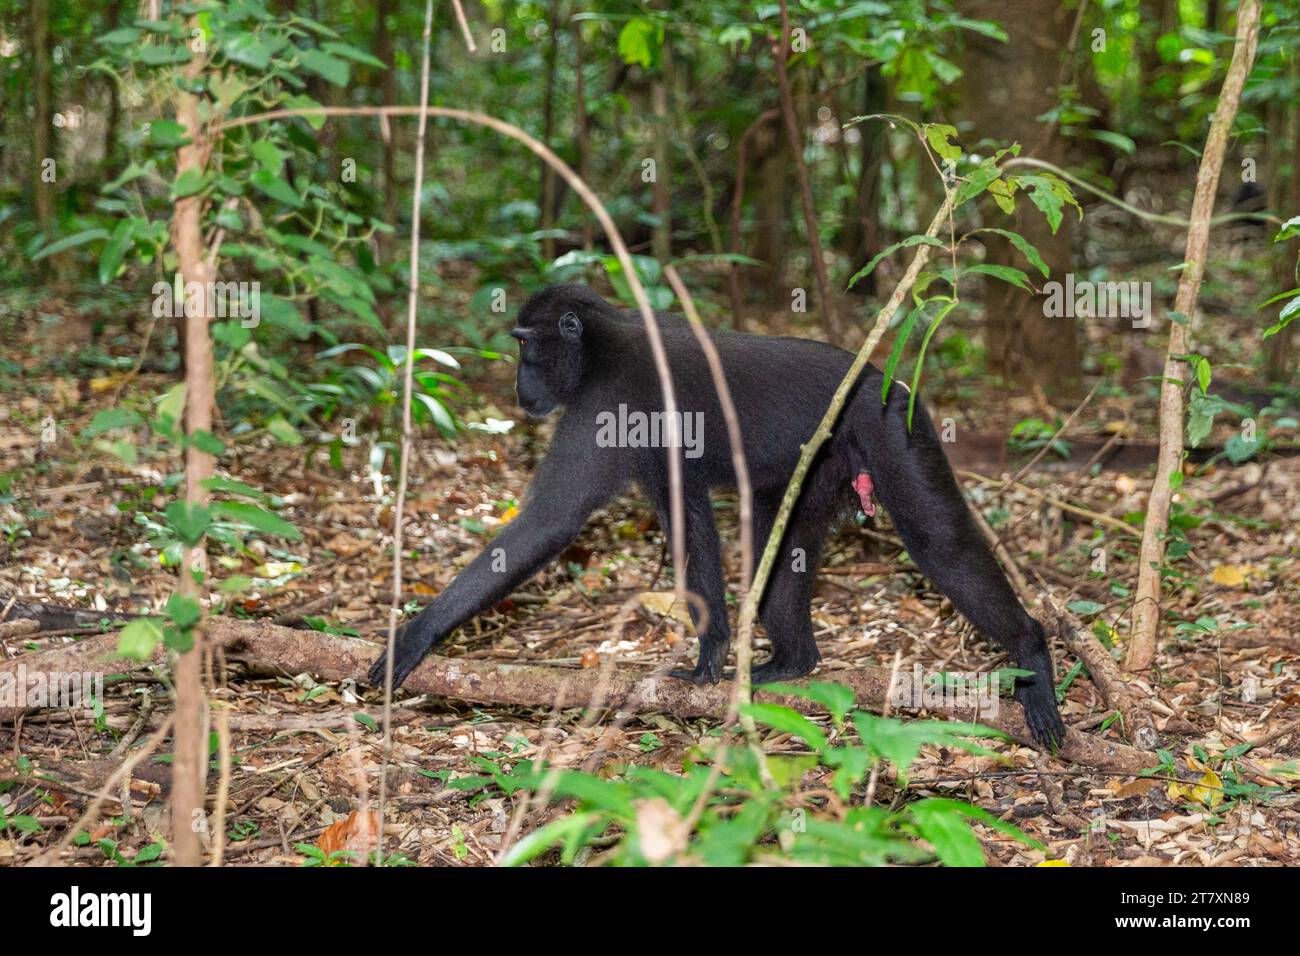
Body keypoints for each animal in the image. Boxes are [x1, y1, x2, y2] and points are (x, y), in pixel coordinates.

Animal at [367, 284, 1066, 748]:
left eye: (523, 348)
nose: (518, 390)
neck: (599, 350)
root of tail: (886, 380)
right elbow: (686, 523)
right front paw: (711, 659)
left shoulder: (605, 405)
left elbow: (550, 522)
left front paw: (417, 633)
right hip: (822, 471)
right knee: (775, 536)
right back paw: (792, 663)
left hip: (892, 431)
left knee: (938, 544)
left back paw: (1032, 653)